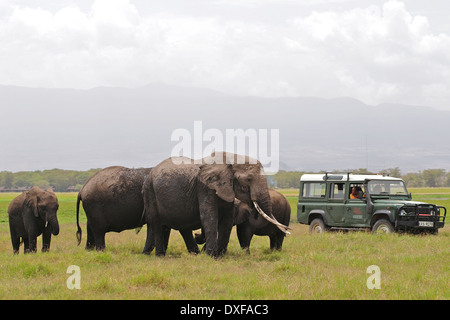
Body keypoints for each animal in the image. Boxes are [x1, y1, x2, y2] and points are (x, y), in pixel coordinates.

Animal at [141, 152, 290, 258]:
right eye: (248, 179)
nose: (253, 208)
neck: (231, 157)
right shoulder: (205, 187)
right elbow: (209, 217)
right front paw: (210, 256)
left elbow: (227, 221)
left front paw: (219, 255)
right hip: (150, 191)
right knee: (157, 224)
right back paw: (160, 256)